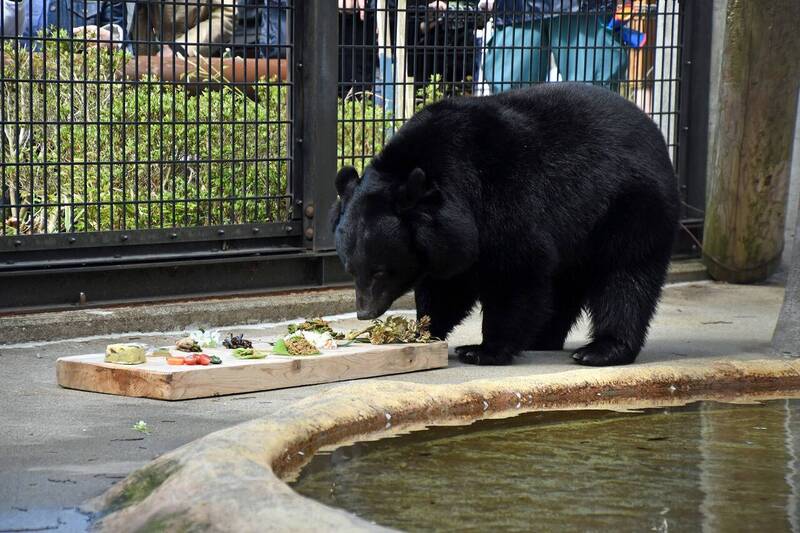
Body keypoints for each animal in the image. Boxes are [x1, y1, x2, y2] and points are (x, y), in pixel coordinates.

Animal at [331, 82, 680, 366]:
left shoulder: (500, 198)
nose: (364, 311)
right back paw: (544, 339)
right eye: (351, 270)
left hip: (630, 207)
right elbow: (448, 282)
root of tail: (656, 133)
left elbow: (515, 270)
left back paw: (600, 350)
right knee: (564, 285)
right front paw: (424, 330)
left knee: (625, 276)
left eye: (380, 271)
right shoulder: (443, 237)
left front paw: (482, 350)